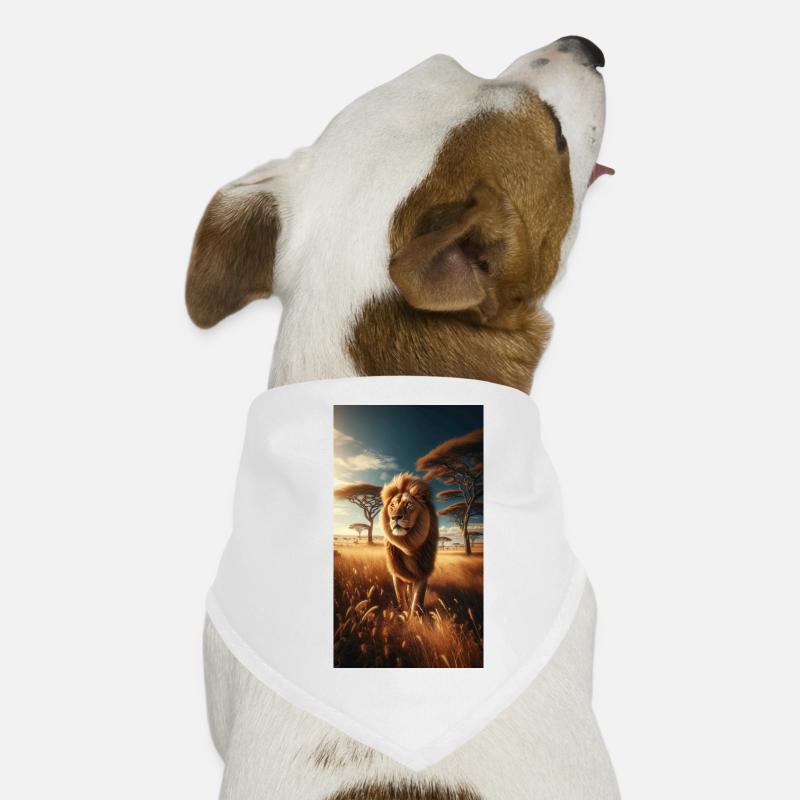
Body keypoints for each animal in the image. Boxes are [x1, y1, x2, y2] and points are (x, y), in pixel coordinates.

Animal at [381, 472, 439, 615]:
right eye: (392, 506)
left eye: (408, 505)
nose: (395, 517)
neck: (408, 545)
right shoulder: (396, 574)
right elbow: (401, 597)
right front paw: (403, 614)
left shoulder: (423, 573)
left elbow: (417, 600)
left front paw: (415, 617)